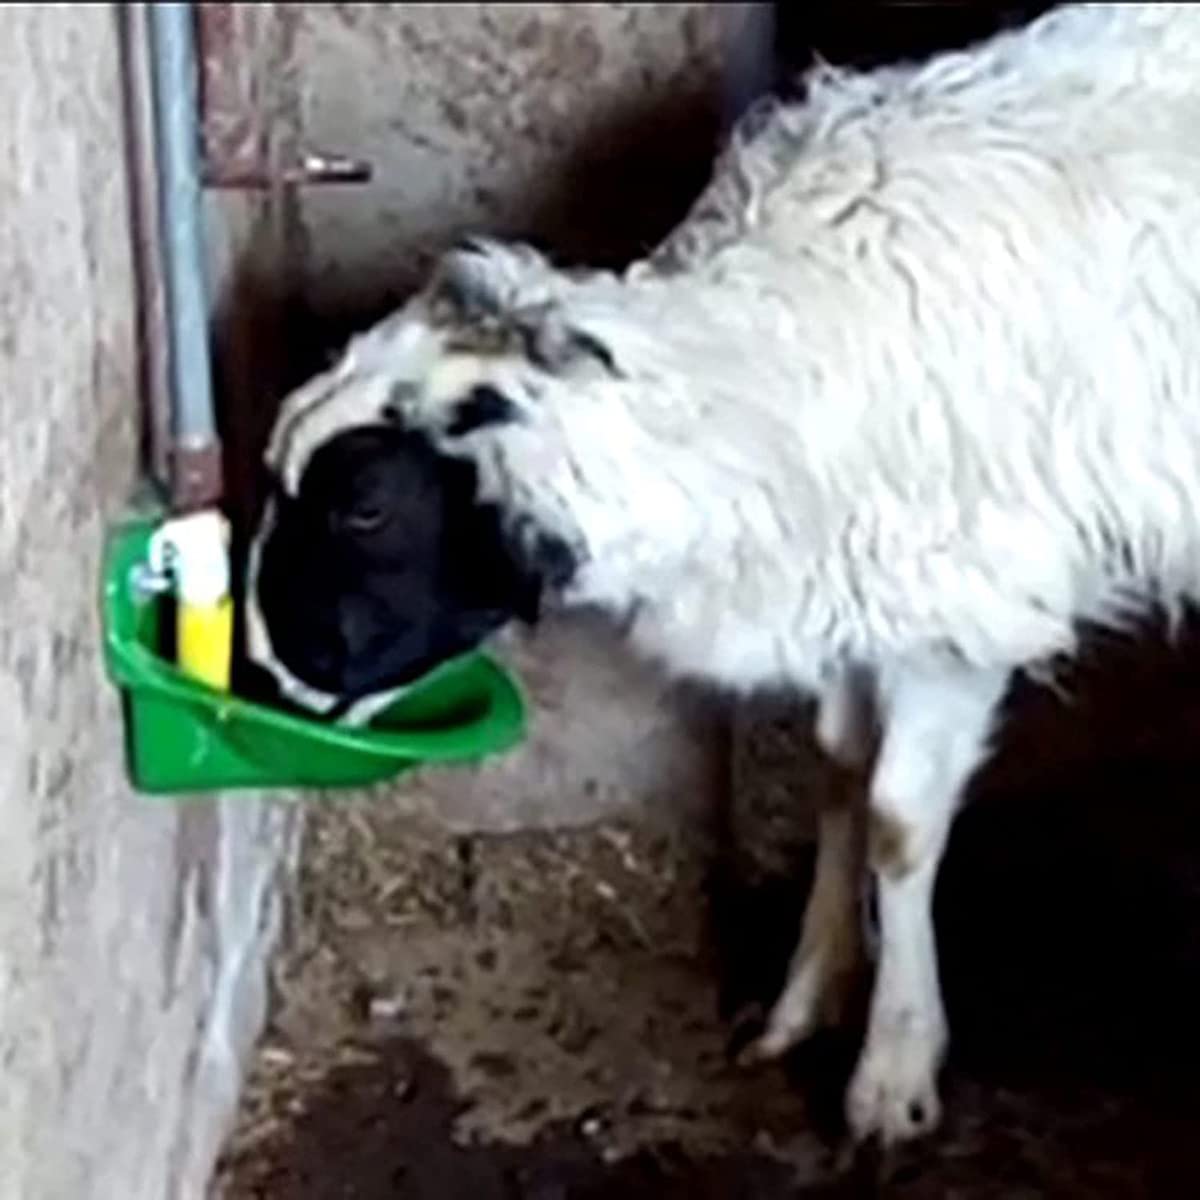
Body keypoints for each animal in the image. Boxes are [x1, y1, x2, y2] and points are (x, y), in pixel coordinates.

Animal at [246, 3, 1200, 1146]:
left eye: (366, 505)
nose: (258, 674)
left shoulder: (955, 615)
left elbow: (898, 822)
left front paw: (892, 1067)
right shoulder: (848, 593)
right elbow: (839, 771)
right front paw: (808, 996)